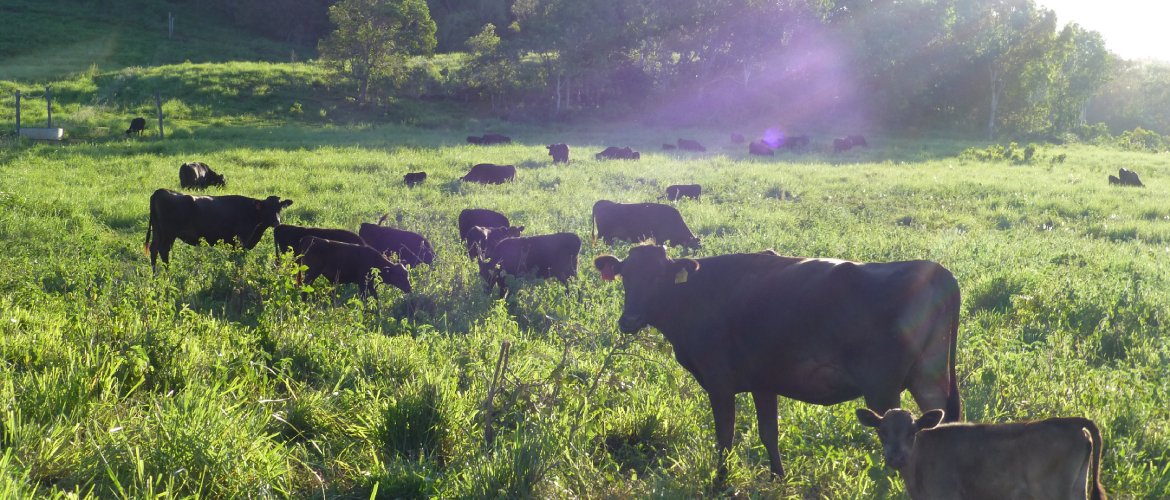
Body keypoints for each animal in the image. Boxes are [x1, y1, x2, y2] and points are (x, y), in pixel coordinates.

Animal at [142, 188, 291, 270]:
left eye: (279, 208)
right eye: (267, 208)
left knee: (155, 250)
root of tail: (160, 191)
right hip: (167, 233)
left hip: (159, 232)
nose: (277, 222)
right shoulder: (241, 241)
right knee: (163, 251)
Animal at [594, 244, 959, 480]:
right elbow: (769, 432)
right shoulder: (763, 382)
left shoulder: (719, 382)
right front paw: (778, 478)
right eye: (626, 276)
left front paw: (720, 482)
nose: (629, 320)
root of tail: (935, 270)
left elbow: (725, 436)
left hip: (883, 388)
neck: (698, 294)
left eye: (659, 278)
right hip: (928, 378)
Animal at [856, 409, 1099, 500]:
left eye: (912, 431)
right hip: (1077, 486)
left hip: (1051, 492)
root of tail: (1070, 422)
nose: (896, 457)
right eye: (881, 431)